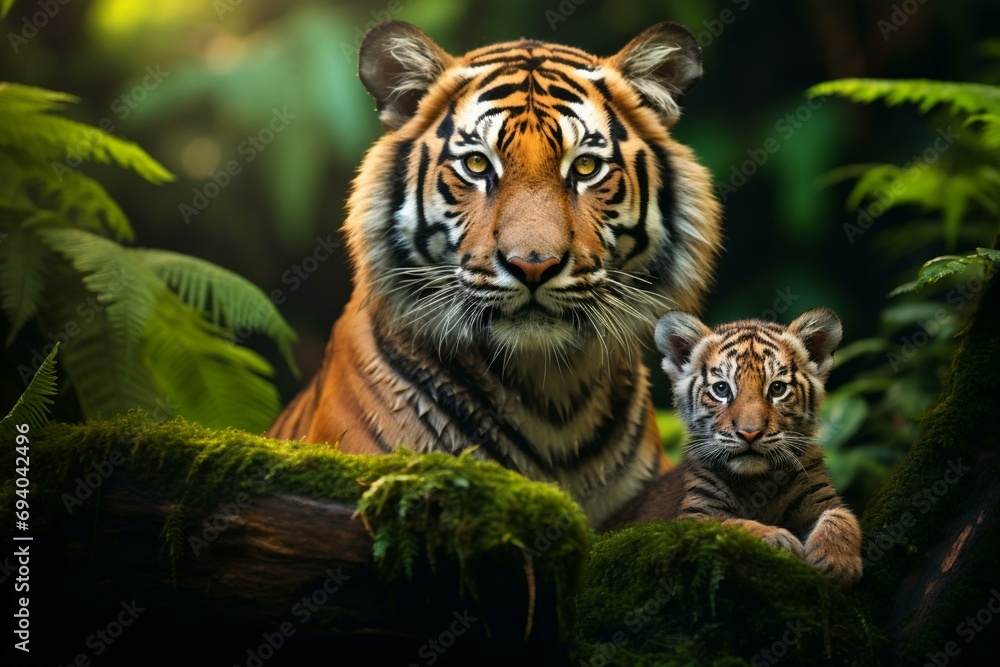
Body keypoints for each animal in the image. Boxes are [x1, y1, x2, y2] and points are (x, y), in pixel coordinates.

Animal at [622, 307, 862, 587]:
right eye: (721, 389)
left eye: (777, 388)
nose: (750, 433)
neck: (756, 481)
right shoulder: (694, 515)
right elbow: (729, 524)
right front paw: (779, 539)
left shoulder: (820, 495)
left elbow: (841, 517)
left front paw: (836, 562)